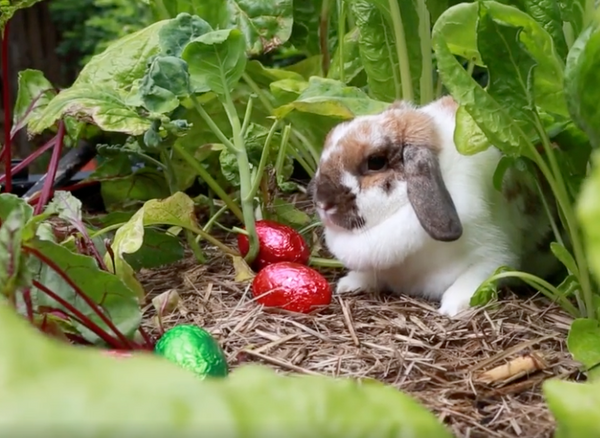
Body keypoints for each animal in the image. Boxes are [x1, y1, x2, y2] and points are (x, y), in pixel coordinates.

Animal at [308, 96, 564, 316]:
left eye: (376, 162)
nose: (322, 202)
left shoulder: (496, 256)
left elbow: (478, 276)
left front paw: (454, 306)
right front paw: (349, 284)